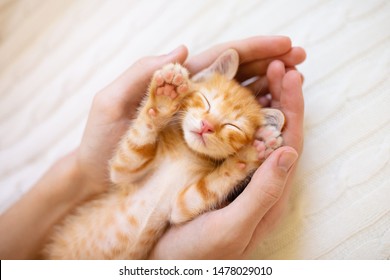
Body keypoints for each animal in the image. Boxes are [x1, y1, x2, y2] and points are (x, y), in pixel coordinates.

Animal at [44, 48, 284, 260]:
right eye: (206, 101)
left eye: (233, 127)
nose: (206, 125)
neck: (186, 151)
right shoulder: (123, 171)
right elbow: (136, 143)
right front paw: (164, 97)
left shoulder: (181, 204)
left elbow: (207, 188)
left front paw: (253, 150)